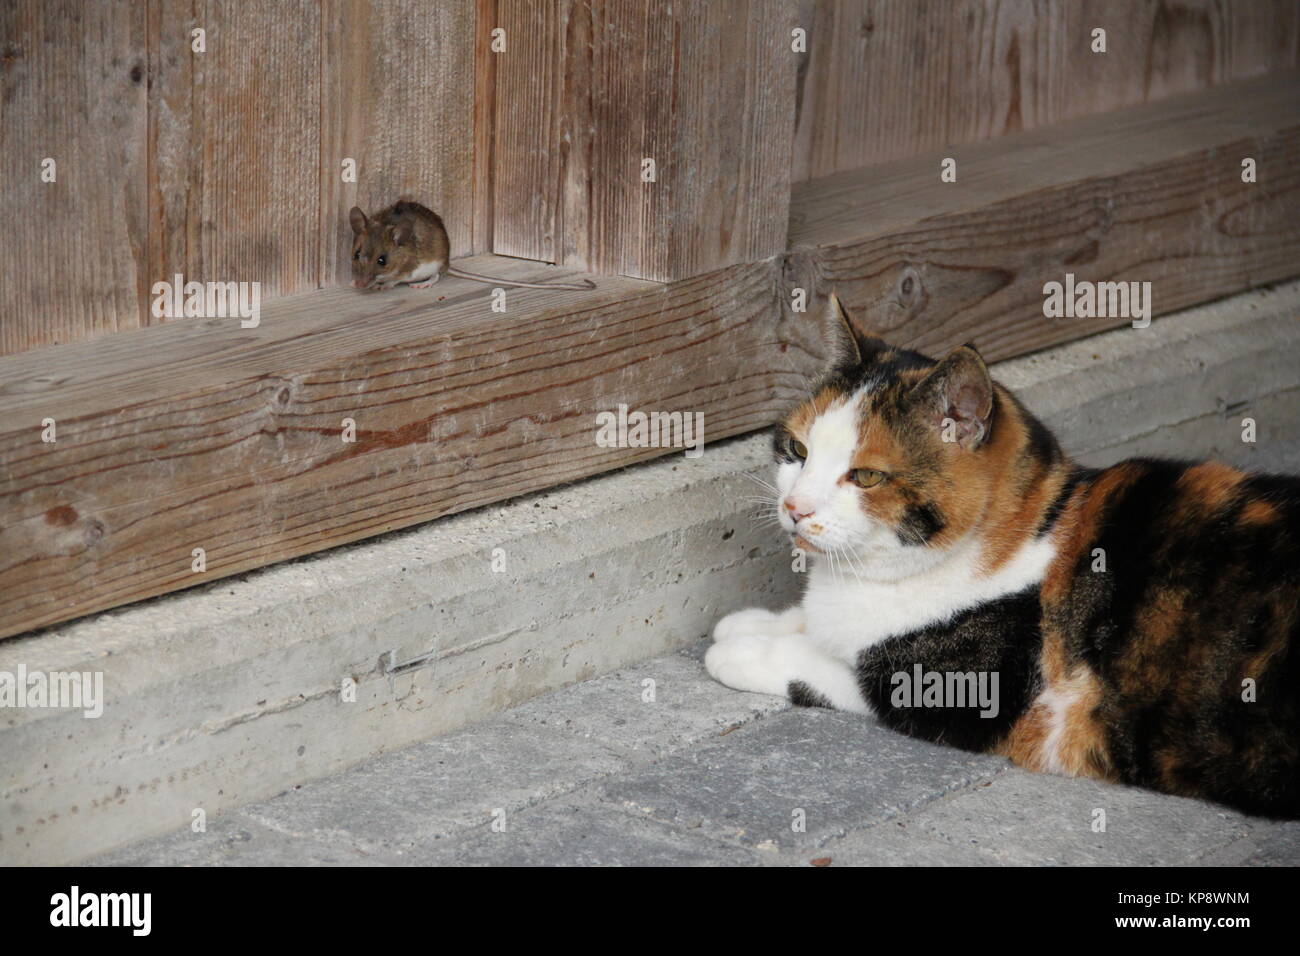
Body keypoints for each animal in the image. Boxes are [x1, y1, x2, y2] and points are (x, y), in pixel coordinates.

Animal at [712, 295, 1300, 816]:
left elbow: (828, 668)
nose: (795, 507)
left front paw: (742, 651)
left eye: (867, 476)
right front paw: (757, 623)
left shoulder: (965, 689)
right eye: (797, 451)